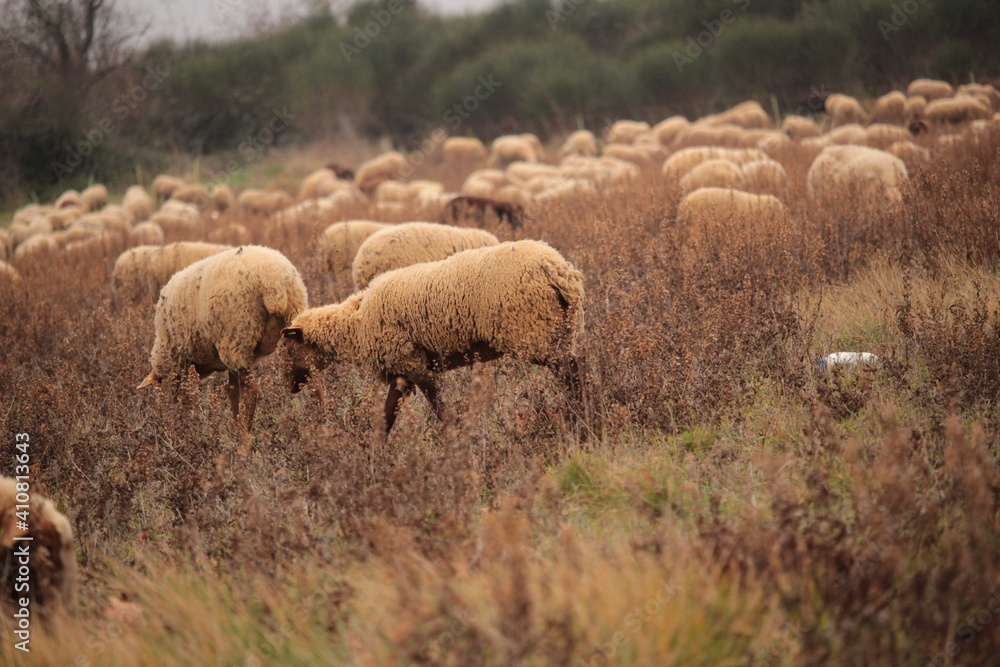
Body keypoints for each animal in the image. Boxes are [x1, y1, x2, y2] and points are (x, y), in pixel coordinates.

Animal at [138, 245, 308, 425]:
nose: (166, 412)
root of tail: (274, 285)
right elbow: (232, 391)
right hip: (288, 333)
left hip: (236, 339)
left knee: (251, 390)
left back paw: (244, 429)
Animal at [280, 240, 584, 433]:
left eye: (287, 347)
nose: (288, 388)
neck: (356, 323)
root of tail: (556, 268)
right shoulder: (402, 373)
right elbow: (387, 417)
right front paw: (373, 455)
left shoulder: (414, 365)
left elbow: (440, 410)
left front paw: (457, 444)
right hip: (558, 330)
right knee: (575, 369)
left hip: (534, 332)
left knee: (570, 374)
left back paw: (578, 419)